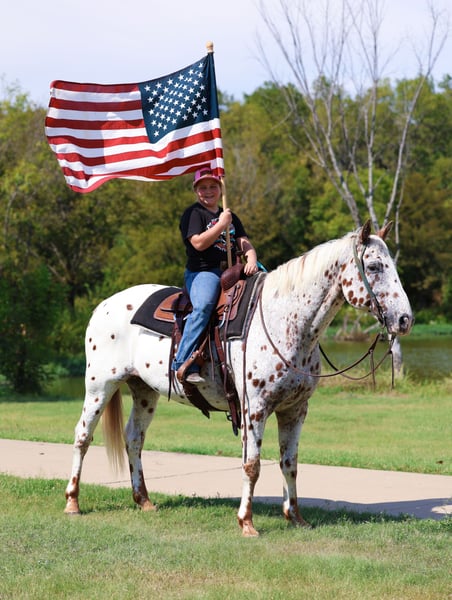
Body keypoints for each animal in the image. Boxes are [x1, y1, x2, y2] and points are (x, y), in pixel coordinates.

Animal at [64, 221, 413, 536]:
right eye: (374, 266)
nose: (405, 319)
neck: (285, 320)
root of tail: (103, 305)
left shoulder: (295, 409)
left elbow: (290, 462)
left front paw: (295, 517)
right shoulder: (254, 408)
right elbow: (252, 465)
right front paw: (246, 522)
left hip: (144, 391)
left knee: (134, 438)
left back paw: (144, 500)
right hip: (99, 386)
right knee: (82, 436)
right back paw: (72, 502)